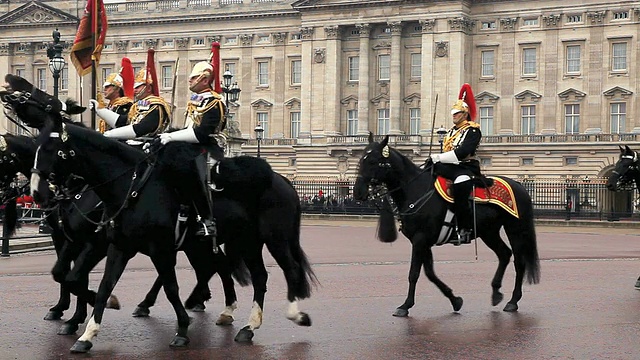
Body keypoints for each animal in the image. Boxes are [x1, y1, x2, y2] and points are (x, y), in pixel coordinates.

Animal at [356, 134, 540, 316]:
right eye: (361, 159)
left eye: (373, 161)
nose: (358, 192)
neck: (416, 189)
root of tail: (519, 186)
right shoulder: (423, 241)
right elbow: (430, 273)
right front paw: (455, 300)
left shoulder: (420, 239)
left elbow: (414, 273)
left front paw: (405, 305)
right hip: (489, 232)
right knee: (504, 254)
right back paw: (496, 293)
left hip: (515, 229)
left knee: (519, 261)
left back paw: (513, 301)